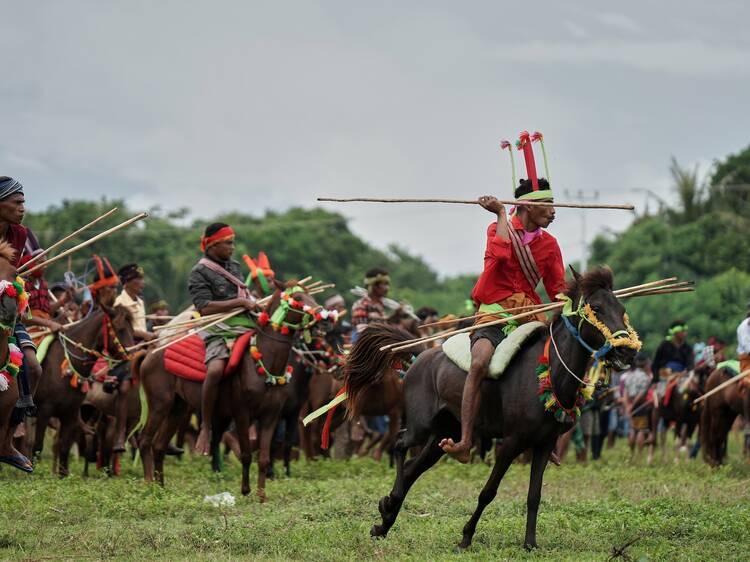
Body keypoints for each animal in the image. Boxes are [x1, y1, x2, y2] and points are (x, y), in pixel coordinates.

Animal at [30, 290, 134, 474]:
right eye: (120, 329)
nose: (131, 360)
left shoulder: (71, 414)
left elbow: (64, 449)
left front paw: (62, 475)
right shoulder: (44, 411)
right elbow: (37, 447)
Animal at [140, 282, 322, 496]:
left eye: (309, 294)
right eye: (298, 298)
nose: (321, 313)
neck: (263, 363)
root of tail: (151, 352)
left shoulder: (271, 415)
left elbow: (264, 458)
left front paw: (261, 495)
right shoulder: (242, 412)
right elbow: (245, 454)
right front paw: (245, 490)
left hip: (178, 407)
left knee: (159, 445)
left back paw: (160, 488)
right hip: (160, 403)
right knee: (145, 441)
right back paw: (149, 484)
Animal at [346, 266, 640, 548]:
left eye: (622, 310)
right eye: (597, 308)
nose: (627, 350)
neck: (550, 370)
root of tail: (420, 356)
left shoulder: (543, 443)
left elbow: (534, 495)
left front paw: (530, 543)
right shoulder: (511, 442)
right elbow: (488, 491)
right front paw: (466, 537)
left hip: (444, 434)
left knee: (411, 469)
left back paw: (385, 519)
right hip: (420, 425)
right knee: (398, 446)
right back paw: (390, 503)